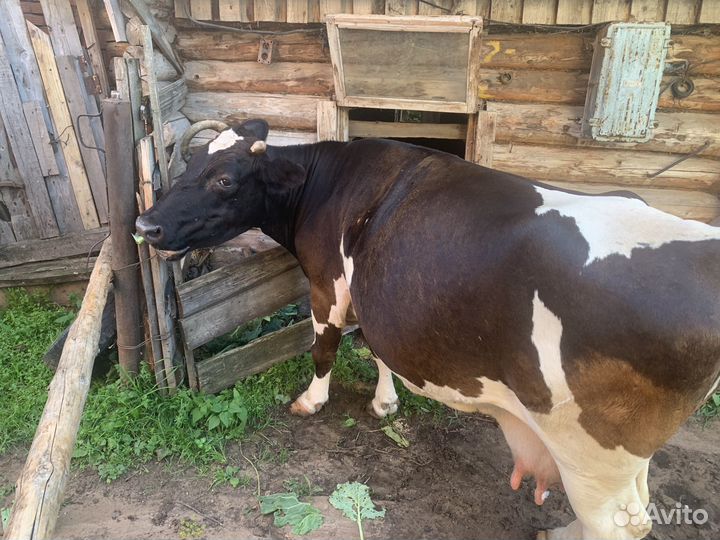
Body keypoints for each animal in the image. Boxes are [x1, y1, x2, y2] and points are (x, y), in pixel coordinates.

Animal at [135, 119, 720, 540]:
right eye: (189, 164)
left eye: (224, 179)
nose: (145, 224)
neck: (325, 185)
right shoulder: (372, 290)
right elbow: (376, 346)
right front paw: (386, 402)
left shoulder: (328, 284)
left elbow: (325, 348)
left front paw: (311, 401)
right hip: (625, 457)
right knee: (637, 506)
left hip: (593, 451)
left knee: (619, 524)